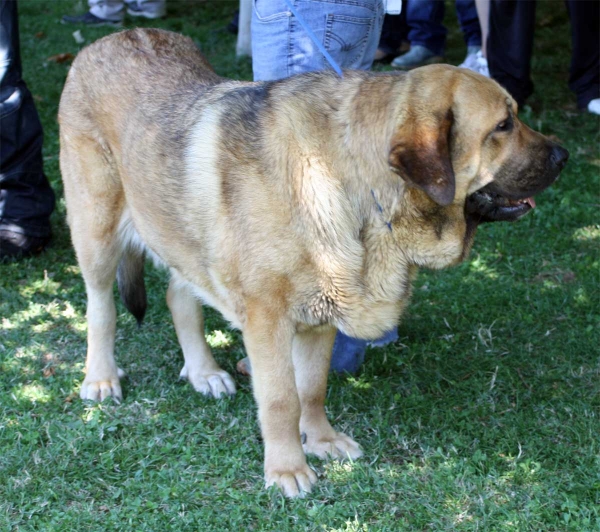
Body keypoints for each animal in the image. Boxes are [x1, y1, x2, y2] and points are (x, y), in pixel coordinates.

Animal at [58, 28, 568, 494]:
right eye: (503, 126)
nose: (563, 154)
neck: (361, 188)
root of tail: (110, 38)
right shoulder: (267, 320)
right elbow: (281, 399)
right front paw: (287, 468)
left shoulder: (322, 315)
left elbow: (311, 388)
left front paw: (321, 441)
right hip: (97, 231)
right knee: (101, 307)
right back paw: (101, 377)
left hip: (184, 231)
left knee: (178, 294)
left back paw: (203, 372)